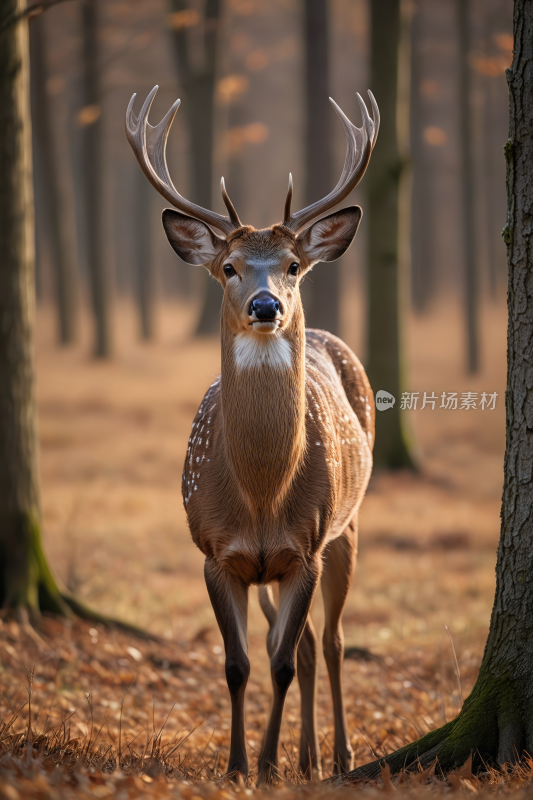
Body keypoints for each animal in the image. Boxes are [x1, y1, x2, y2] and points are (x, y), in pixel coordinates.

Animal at [126, 84, 376, 784]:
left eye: (292, 264)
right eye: (231, 267)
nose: (268, 306)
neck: (262, 497)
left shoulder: (306, 547)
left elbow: (281, 663)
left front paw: (265, 766)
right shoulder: (215, 552)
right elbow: (239, 664)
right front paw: (240, 765)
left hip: (347, 526)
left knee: (333, 641)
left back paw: (338, 756)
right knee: (308, 642)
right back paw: (310, 756)